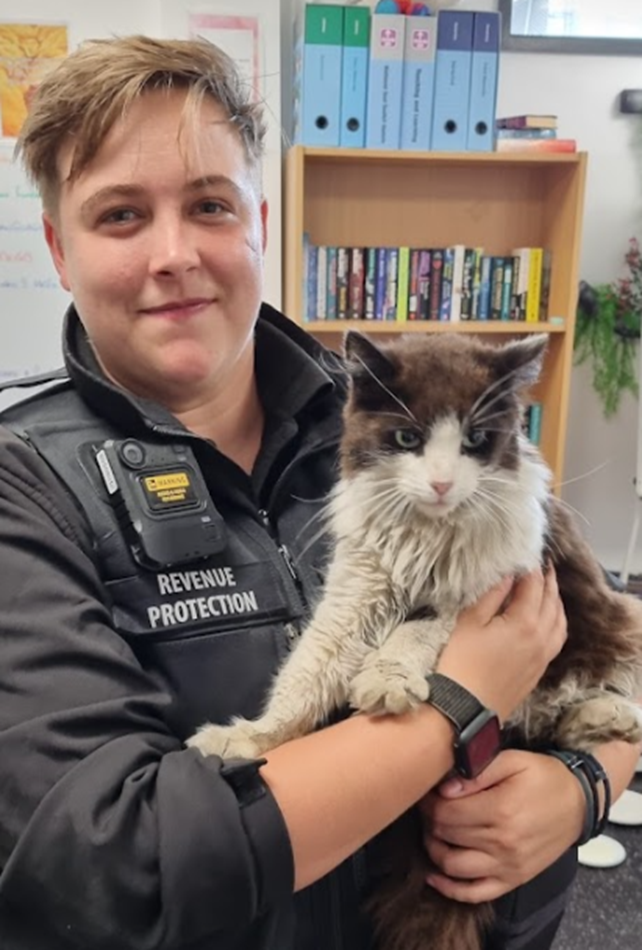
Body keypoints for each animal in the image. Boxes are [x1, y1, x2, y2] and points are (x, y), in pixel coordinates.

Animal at [188, 332, 640, 950]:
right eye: (408, 438)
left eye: (475, 440)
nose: (443, 483)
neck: (429, 534)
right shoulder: (357, 589)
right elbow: (306, 675)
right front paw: (250, 739)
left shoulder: (478, 592)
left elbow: (415, 629)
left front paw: (386, 679)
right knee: (551, 723)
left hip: (622, 619)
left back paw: (611, 717)